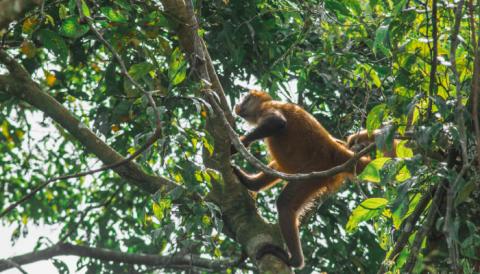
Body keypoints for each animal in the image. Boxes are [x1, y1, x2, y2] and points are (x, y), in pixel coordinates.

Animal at [232, 89, 376, 268]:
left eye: (245, 98)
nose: (238, 104)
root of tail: (333, 150)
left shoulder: (268, 107)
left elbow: (277, 123)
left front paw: (238, 144)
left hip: (313, 175)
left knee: (285, 203)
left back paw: (294, 261)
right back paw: (251, 183)